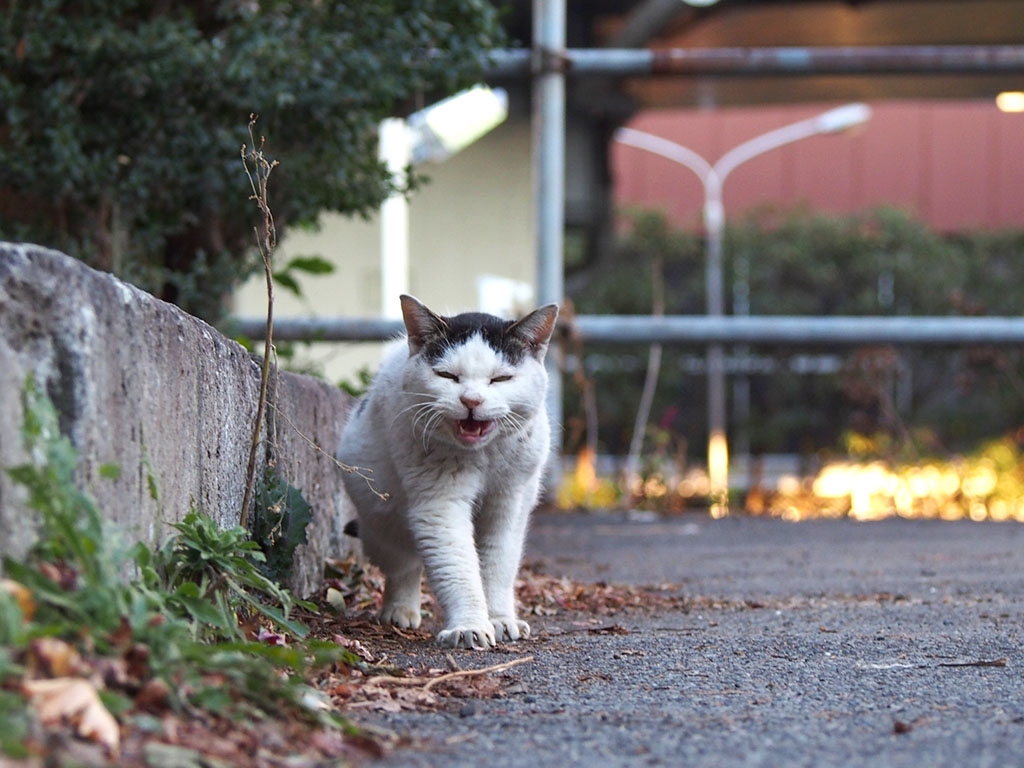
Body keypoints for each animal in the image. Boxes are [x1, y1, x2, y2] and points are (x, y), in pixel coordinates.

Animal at [339, 294, 557, 651]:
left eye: (500, 379)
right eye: (447, 375)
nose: (472, 400)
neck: (482, 456)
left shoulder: (509, 503)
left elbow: (498, 565)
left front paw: (500, 620)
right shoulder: (439, 505)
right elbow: (458, 567)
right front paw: (470, 626)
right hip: (383, 520)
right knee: (404, 565)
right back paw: (400, 610)